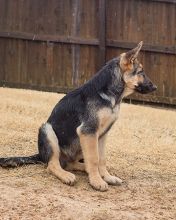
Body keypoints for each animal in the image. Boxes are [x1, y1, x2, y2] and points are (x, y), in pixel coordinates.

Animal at [0, 41, 157, 191]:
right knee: (52, 164)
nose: (155, 87)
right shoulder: (88, 131)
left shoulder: (101, 135)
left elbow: (101, 159)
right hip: (48, 130)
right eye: (141, 71)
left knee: (71, 163)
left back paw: (83, 169)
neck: (109, 95)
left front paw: (106, 177)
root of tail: (40, 155)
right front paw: (97, 181)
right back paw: (66, 175)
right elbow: (94, 158)